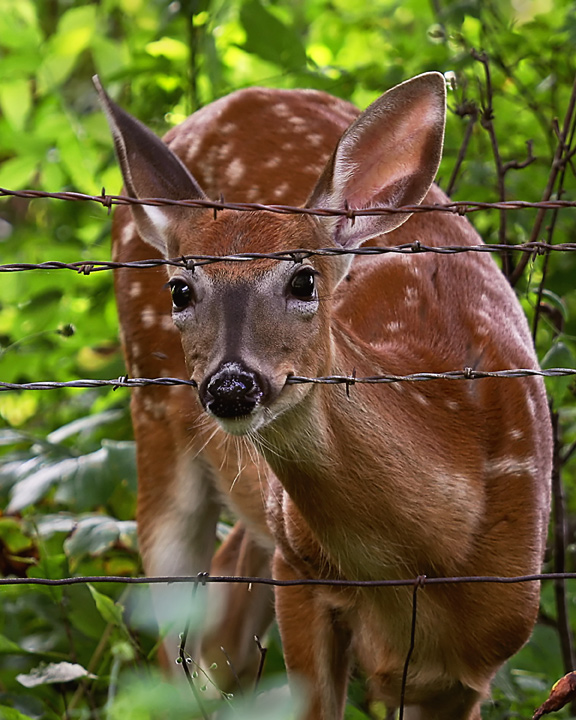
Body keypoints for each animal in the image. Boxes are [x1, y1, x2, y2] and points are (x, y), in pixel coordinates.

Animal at [95, 72, 552, 719]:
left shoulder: (480, 656)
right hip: (153, 412)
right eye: (180, 289)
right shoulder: (297, 570)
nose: (232, 385)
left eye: (304, 279)